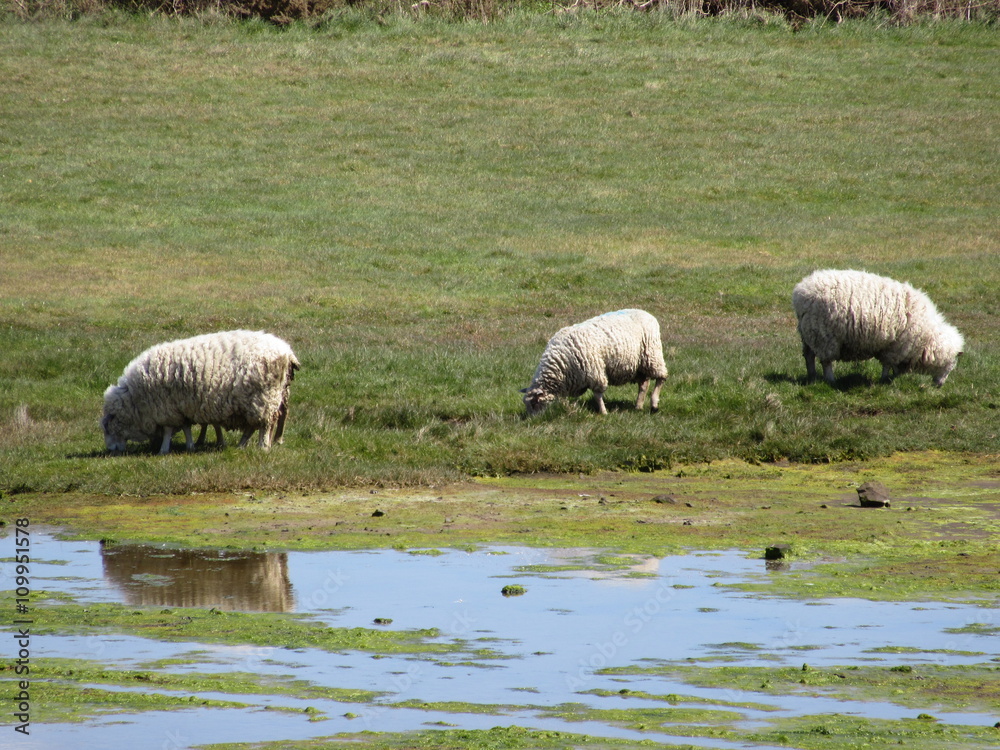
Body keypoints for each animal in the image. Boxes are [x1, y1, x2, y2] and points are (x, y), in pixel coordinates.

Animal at [102, 330, 300, 454]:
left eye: (108, 427)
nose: (111, 451)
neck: (136, 400)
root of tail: (286, 351)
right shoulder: (182, 406)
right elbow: (186, 427)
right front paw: (190, 445)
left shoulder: (167, 408)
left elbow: (169, 430)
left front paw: (164, 449)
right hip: (251, 402)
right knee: (253, 425)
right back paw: (242, 445)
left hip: (263, 398)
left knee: (265, 424)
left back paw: (263, 446)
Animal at [521, 309, 668, 416]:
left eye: (535, 403)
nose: (532, 420)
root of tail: (647, 313)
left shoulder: (595, 372)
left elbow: (598, 395)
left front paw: (603, 412)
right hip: (639, 364)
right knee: (644, 384)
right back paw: (638, 406)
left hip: (652, 355)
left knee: (661, 378)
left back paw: (654, 404)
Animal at [792, 269, 964, 387]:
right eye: (950, 365)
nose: (940, 385)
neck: (927, 337)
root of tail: (801, 291)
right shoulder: (895, 346)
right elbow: (888, 364)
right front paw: (885, 379)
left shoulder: (895, 347)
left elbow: (893, 365)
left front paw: (894, 377)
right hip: (824, 335)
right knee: (826, 361)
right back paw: (831, 380)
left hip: (809, 332)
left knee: (808, 356)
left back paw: (812, 376)